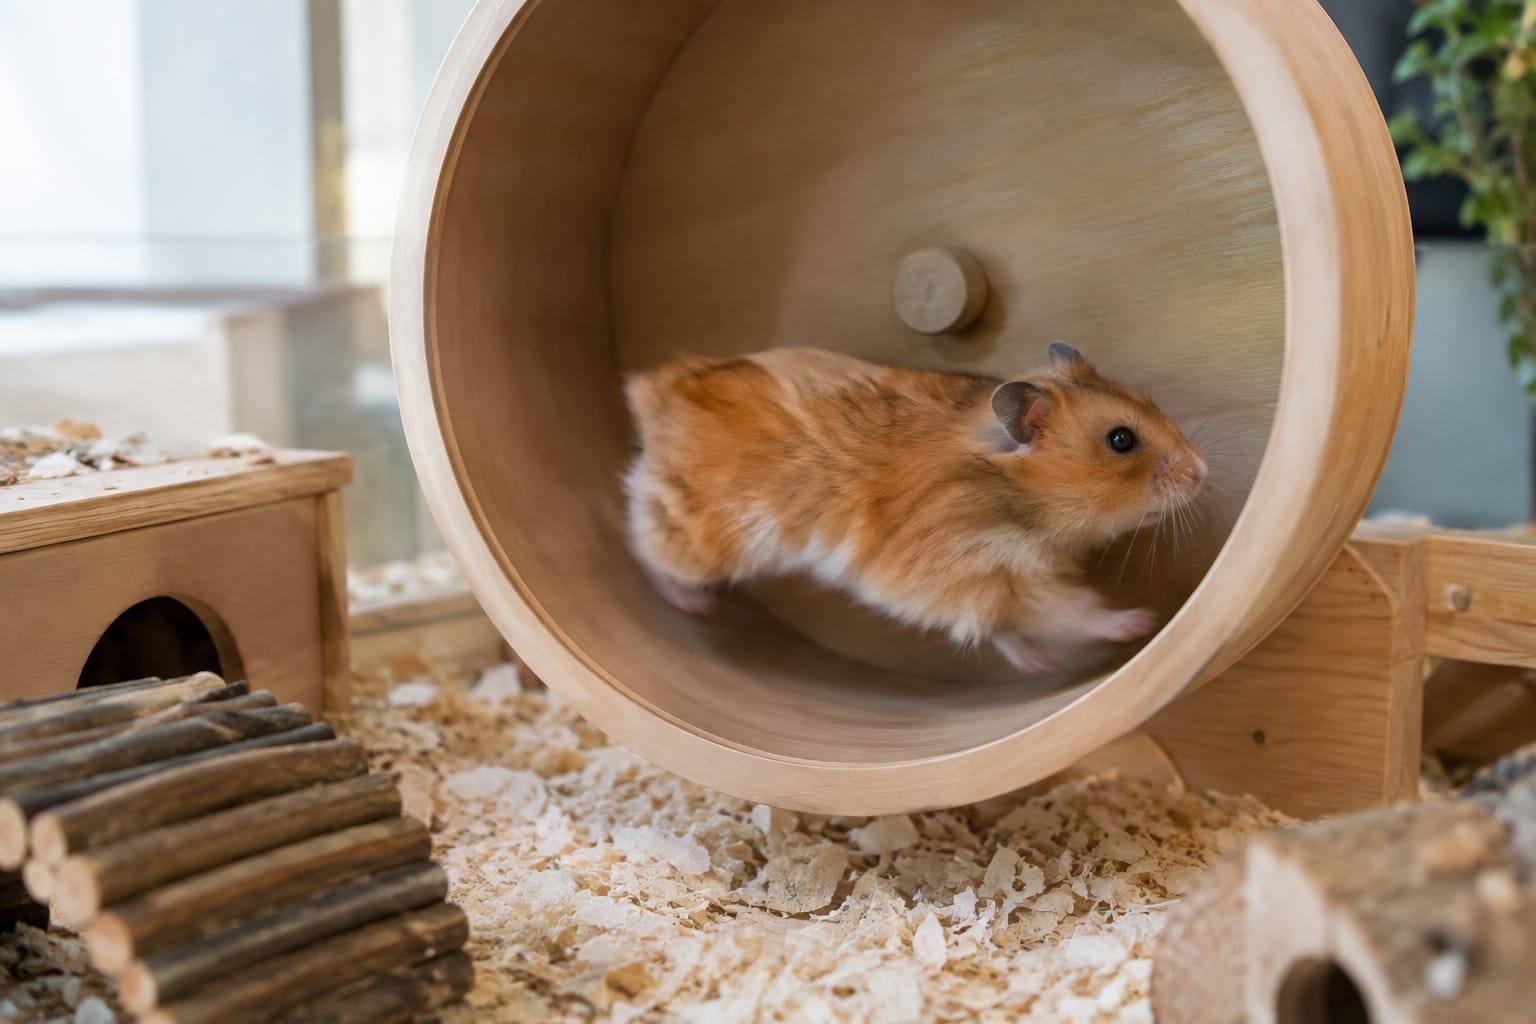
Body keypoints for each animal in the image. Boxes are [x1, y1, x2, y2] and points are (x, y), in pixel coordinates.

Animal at [622, 343, 1208, 673]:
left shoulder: (987, 582)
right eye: (1120, 440)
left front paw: (1038, 664)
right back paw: (693, 605)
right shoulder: (980, 571)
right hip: (699, 533)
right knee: (644, 544)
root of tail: (650, 391)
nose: (1203, 471)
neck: (1018, 505)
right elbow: (1066, 611)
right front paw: (1138, 623)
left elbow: (1004, 629)